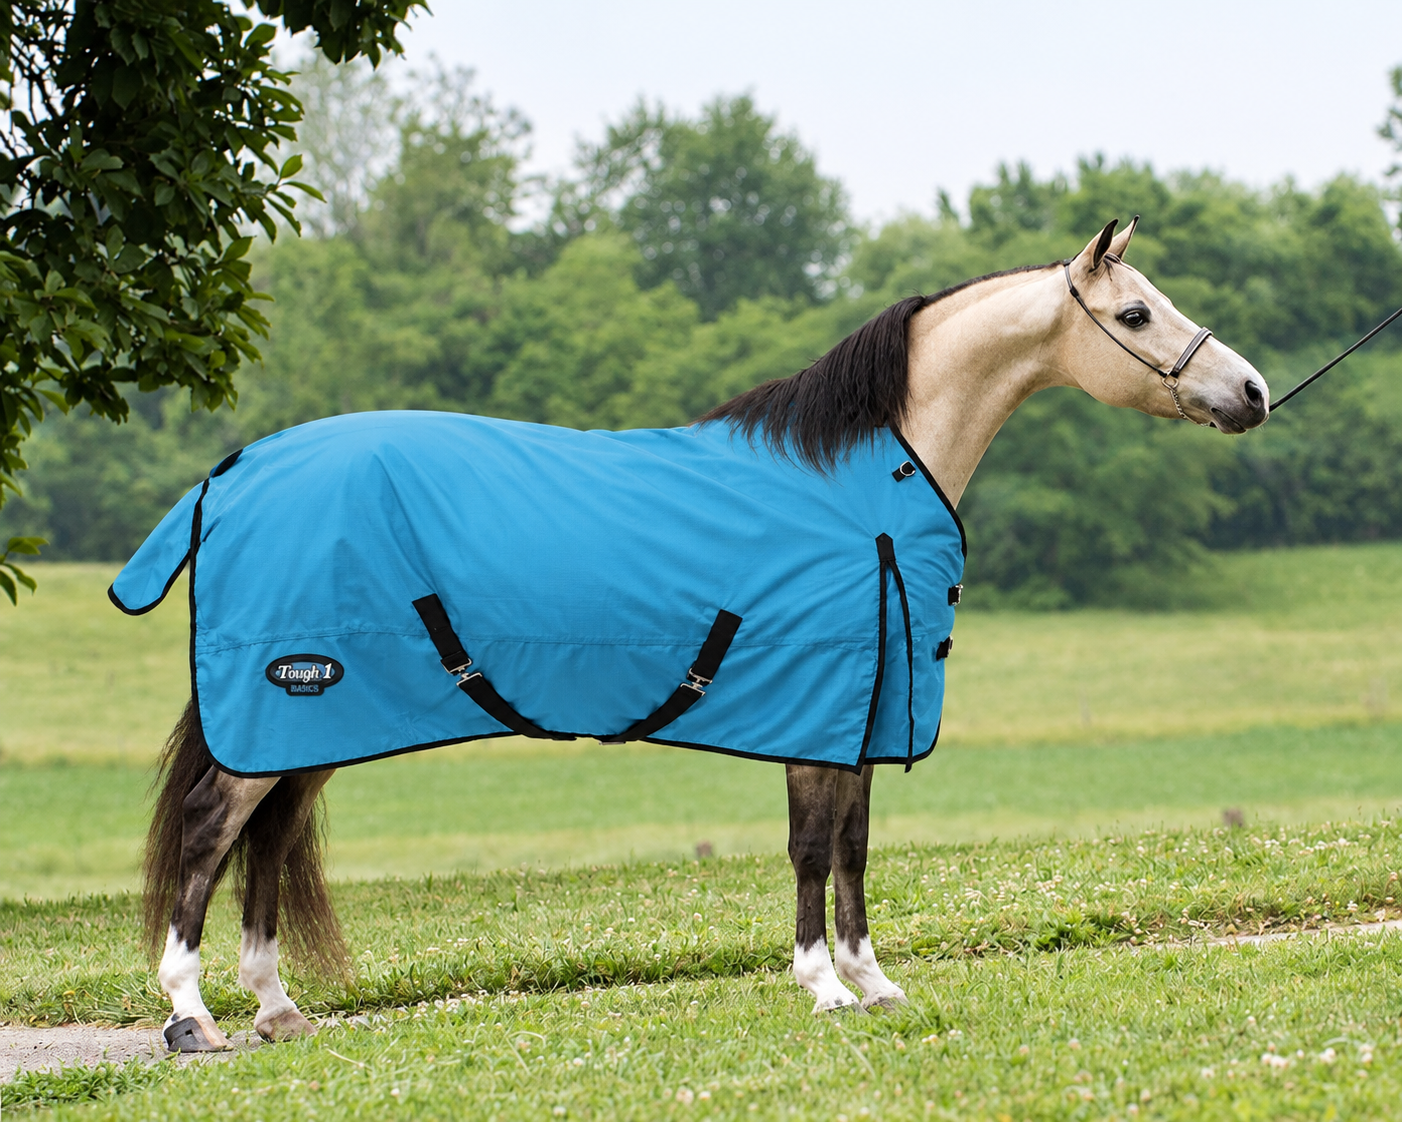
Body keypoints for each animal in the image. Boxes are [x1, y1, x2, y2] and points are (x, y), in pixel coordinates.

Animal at [130, 217, 1269, 1052]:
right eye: (1134, 311)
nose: (1251, 391)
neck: (861, 483)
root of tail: (232, 474)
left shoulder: (860, 707)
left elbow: (853, 849)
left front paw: (874, 980)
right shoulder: (819, 708)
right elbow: (812, 848)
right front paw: (823, 987)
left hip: (318, 720)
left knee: (268, 837)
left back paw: (276, 1007)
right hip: (288, 702)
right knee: (211, 826)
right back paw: (192, 1015)